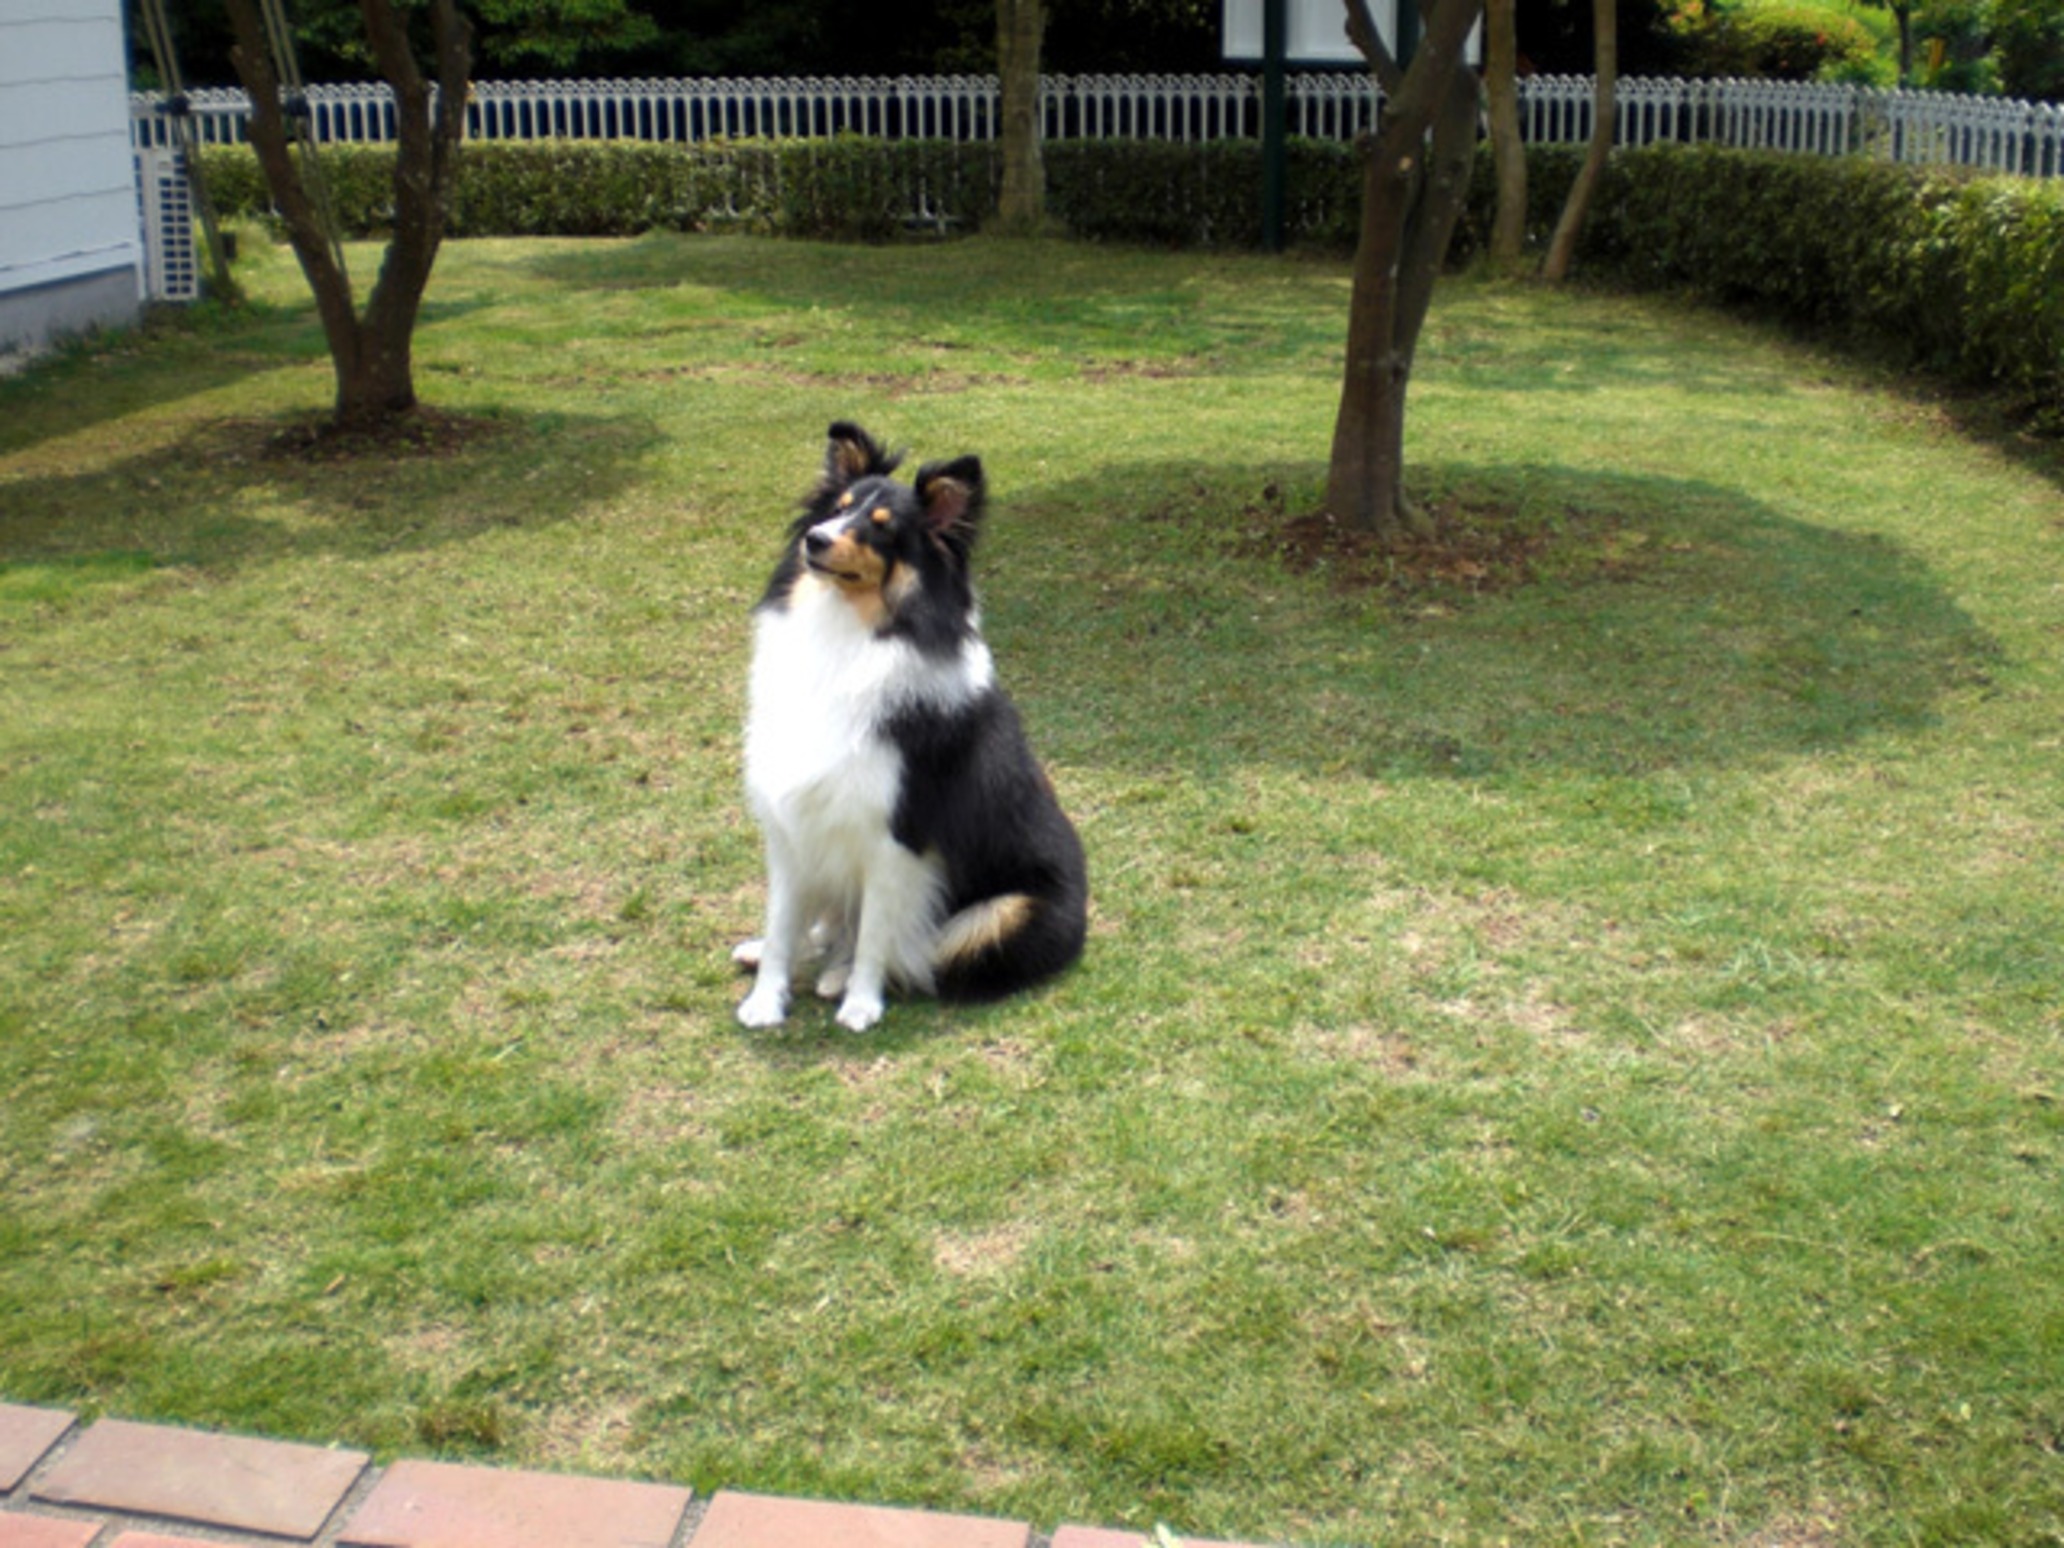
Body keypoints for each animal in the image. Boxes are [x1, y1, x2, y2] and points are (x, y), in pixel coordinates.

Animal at [738, 418, 1098, 1036]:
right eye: (838, 508)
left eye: (883, 530)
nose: (815, 541)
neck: (847, 633)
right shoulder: (791, 825)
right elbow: (784, 921)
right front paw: (766, 998)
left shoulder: (897, 835)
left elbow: (875, 935)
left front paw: (860, 1004)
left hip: (1007, 912)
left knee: (921, 952)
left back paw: (840, 977)